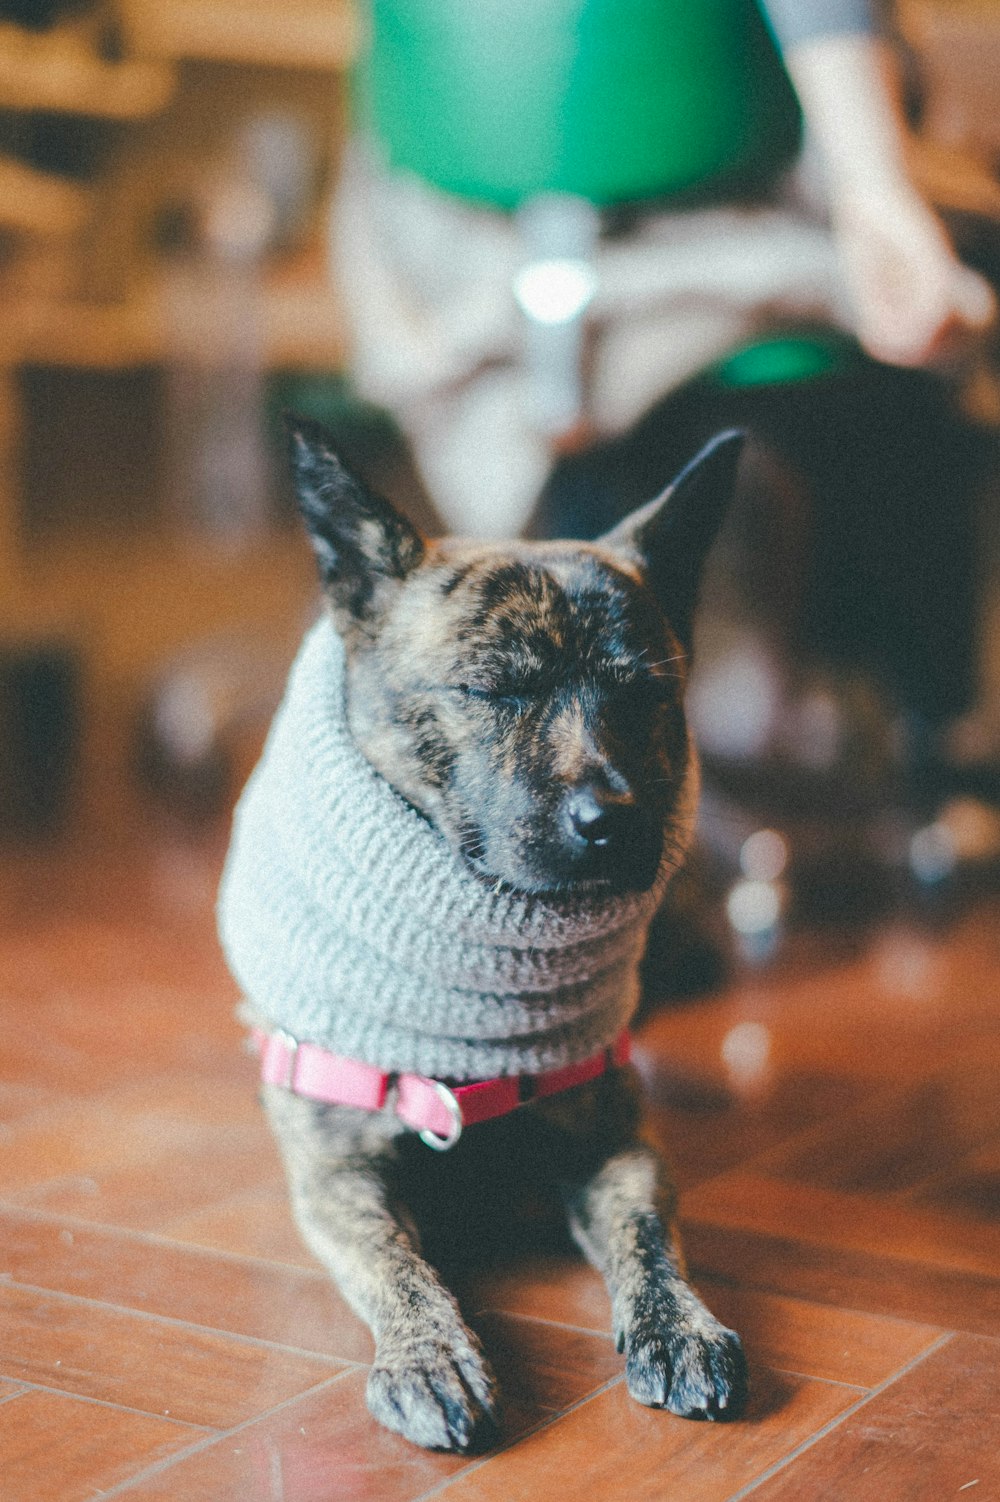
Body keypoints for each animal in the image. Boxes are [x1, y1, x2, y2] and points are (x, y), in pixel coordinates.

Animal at [220, 417, 747, 1447]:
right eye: (493, 690)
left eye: (645, 695)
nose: (613, 822)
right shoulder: (335, 1174)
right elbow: (395, 1265)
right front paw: (427, 1354)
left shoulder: (619, 1147)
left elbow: (650, 1240)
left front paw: (681, 1326)